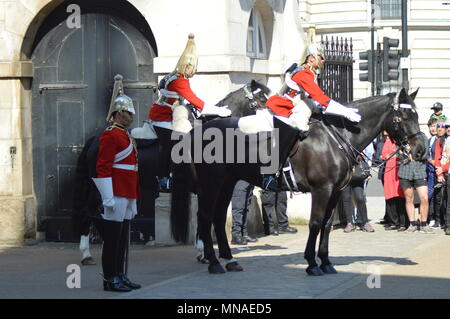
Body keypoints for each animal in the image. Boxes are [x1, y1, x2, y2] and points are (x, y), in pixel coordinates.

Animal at [171, 89, 426, 276]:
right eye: (404, 117)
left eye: (417, 115)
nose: (420, 150)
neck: (337, 138)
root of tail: (199, 131)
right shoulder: (322, 189)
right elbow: (315, 223)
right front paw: (312, 263)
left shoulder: (335, 191)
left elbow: (326, 224)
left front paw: (326, 261)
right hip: (212, 183)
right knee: (205, 216)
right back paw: (213, 261)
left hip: (227, 181)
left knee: (216, 216)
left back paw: (229, 259)